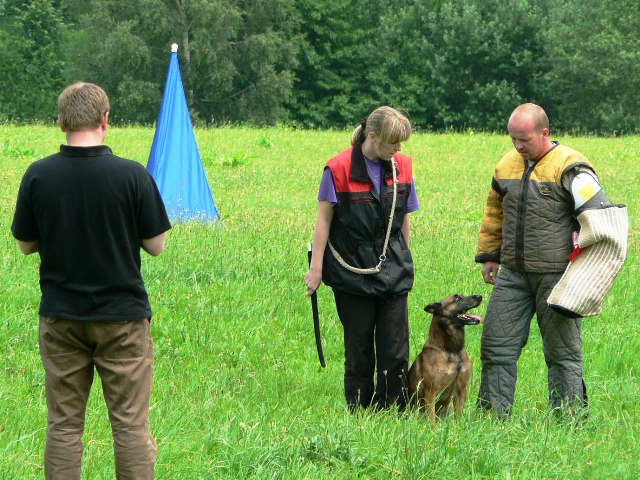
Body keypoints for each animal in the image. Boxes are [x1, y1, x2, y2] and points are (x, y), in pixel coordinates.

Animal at [408, 294, 482, 422]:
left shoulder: (462, 389)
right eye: (457, 298)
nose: (479, 296)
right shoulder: (431, 391)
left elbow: (459, 416)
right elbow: (431, 418)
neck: (452, 351)